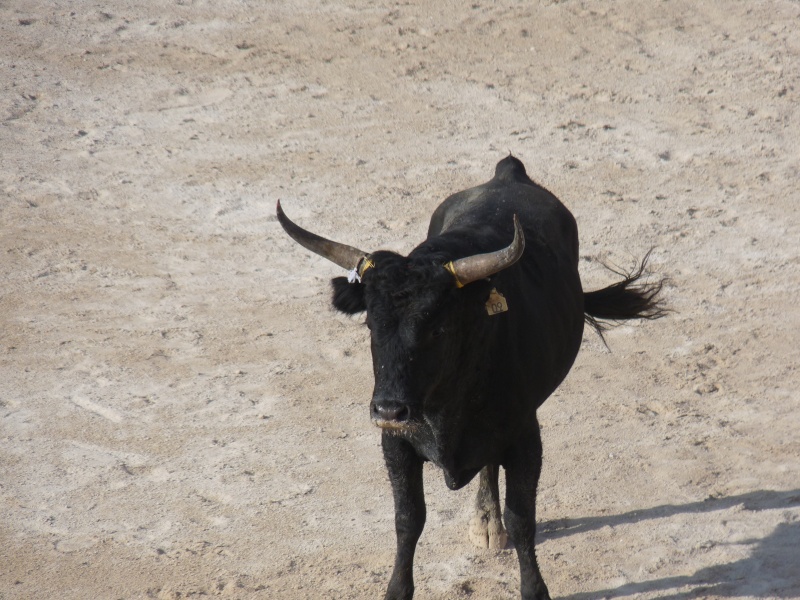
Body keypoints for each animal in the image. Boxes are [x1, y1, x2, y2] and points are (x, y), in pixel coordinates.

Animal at [276, 156, 664, 600]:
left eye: (438, 328)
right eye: (371, 325)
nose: (389, 409)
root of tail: (508, 171)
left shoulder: (524, 435)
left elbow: (522, 518)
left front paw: (533, 588)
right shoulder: (395, 443)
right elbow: (408, 519)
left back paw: (488, 524)